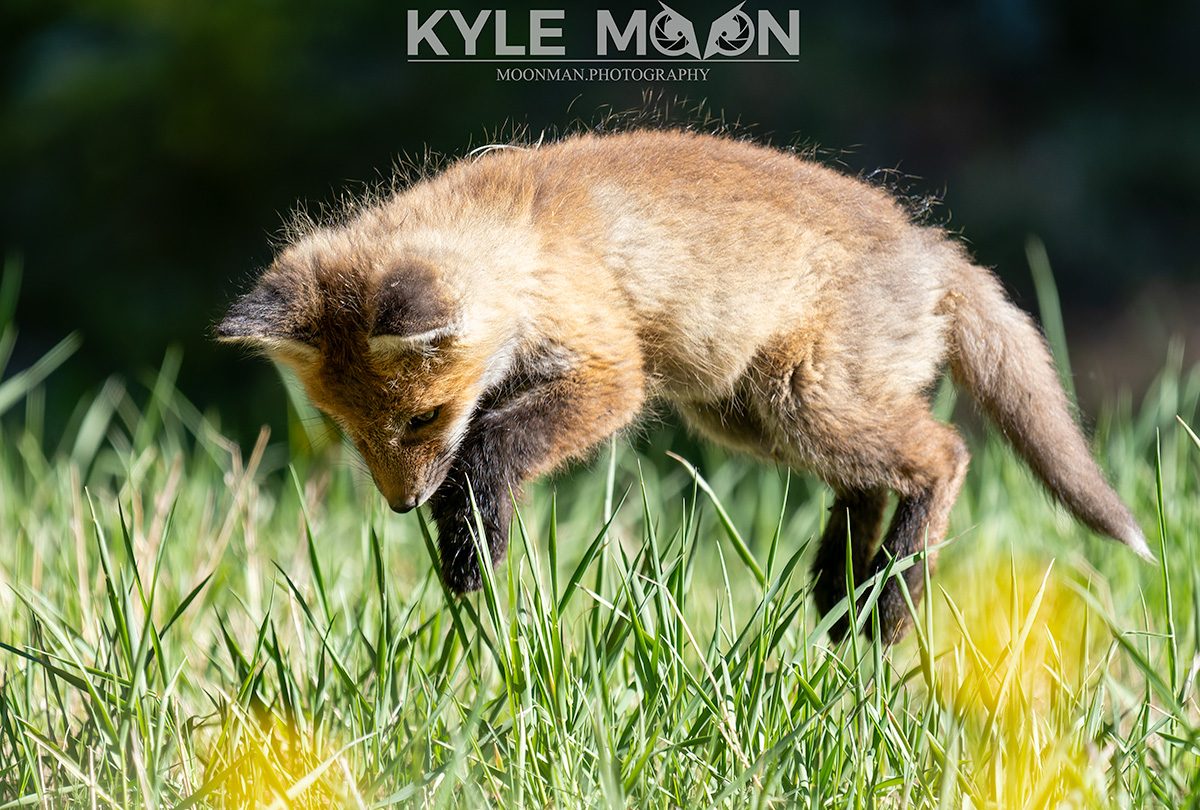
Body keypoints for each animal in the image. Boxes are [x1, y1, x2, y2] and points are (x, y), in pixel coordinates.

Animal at [217, 128, 1151, 643]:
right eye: (352, 433)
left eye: (422, 418)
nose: (401, 505)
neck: (522, 247)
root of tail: (938, 252)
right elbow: (485, 453)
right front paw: (462, 541)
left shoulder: (610, 375)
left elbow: (493, 445)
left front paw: (473, 544)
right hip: (751, 415)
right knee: (870, 483)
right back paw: (840, 594)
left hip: (804, 404)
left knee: (944, 454)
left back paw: (890, 602)